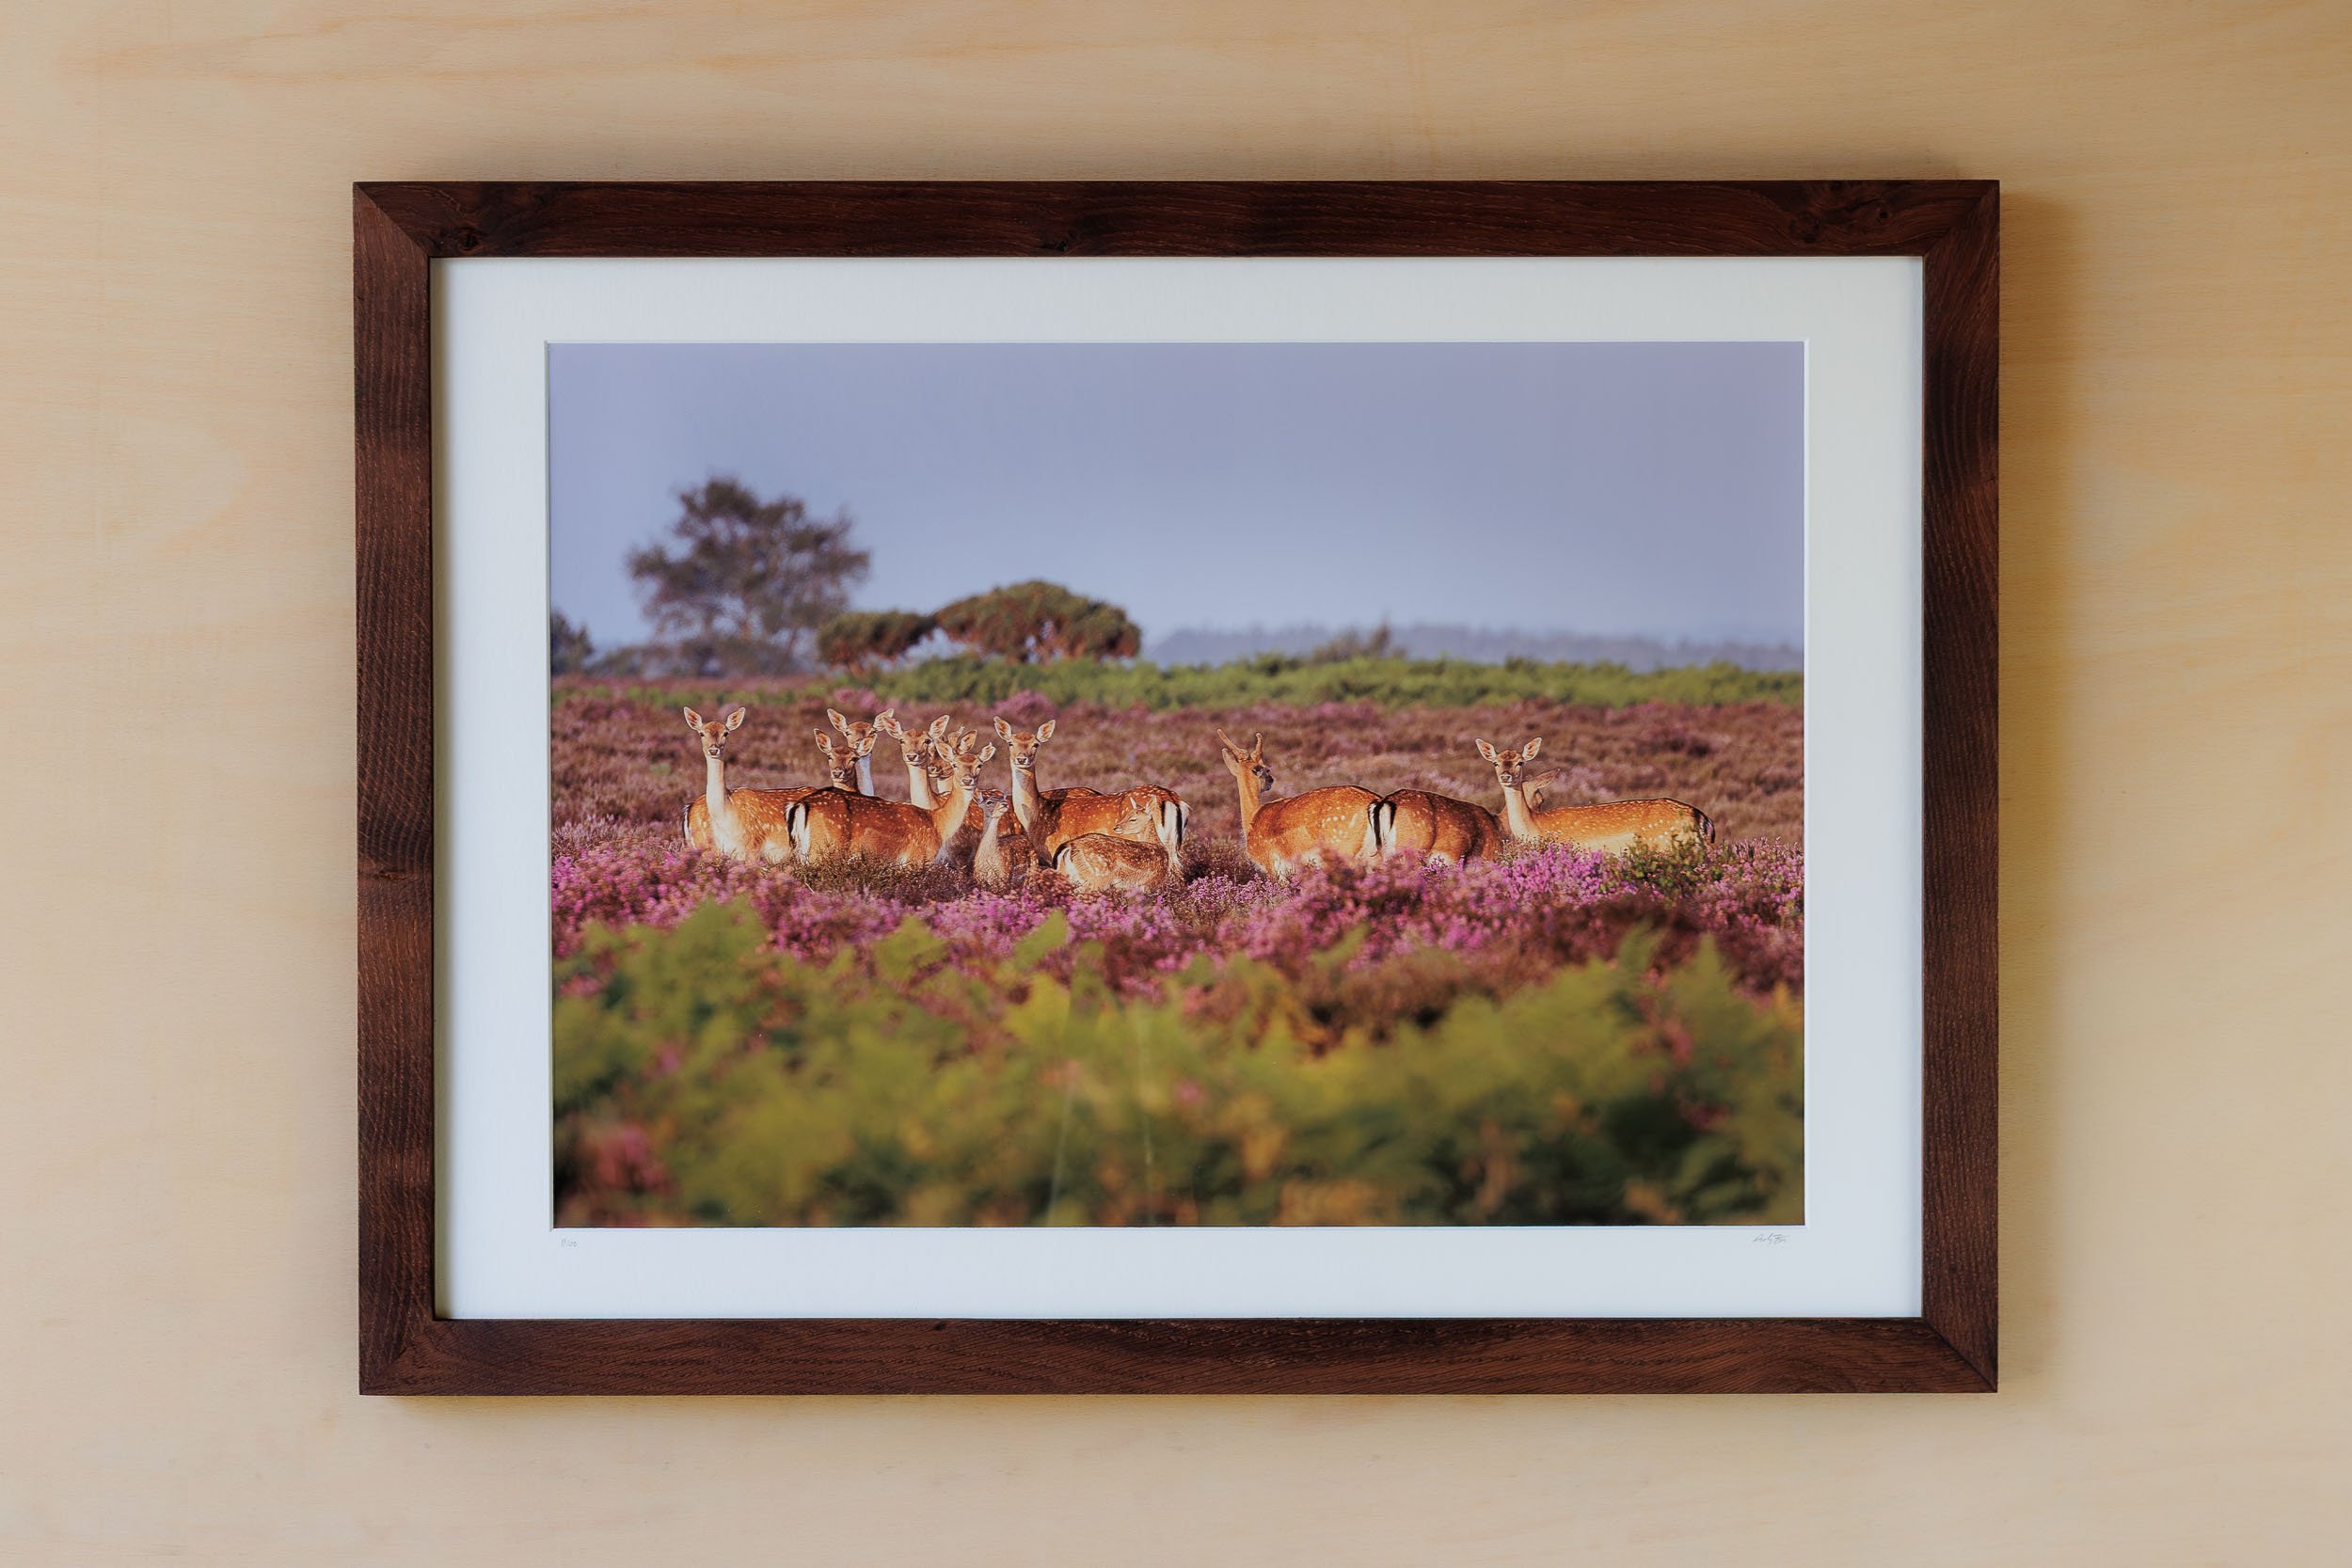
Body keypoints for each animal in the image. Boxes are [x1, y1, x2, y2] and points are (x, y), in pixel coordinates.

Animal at [993, 717, 1185, 865]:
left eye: (1036, 744)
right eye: (1010, 743)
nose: (1021, 759)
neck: (1038, 816)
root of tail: (1170, 799)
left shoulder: (1057, 849)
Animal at [1053, 799, 1180, 893]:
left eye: (1133, 819)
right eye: (1127, 815)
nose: (1116, 827)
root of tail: (1070, 845)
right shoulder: (1151, 882)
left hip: (1068, 875)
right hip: (1096, 878)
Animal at [1474, 738, 1714, 853]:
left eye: (1520, 762)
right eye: (1496, 762)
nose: (1506, 776)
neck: (1536, 827)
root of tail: (1703, 819)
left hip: (1666, 845)